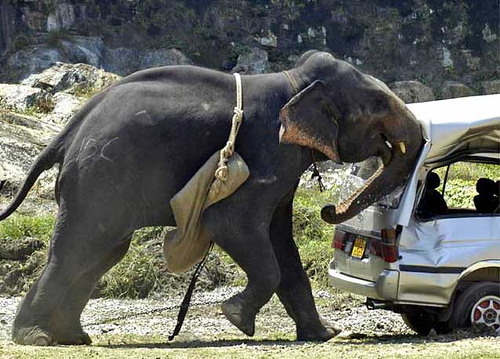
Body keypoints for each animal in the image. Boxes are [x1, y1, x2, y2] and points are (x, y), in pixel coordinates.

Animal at [0, 50, 424, 346]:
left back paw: (72, 337)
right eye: (379, 106)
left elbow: (280, 240)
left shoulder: (283, 161)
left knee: (102, 252)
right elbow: (232, 223)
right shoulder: (268, 149)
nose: (328, 208)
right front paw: (236, 317)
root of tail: (67, 133)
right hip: (97, 176)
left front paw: (325, 335)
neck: (294, 80)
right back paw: (37, 338)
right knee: (79, 247)